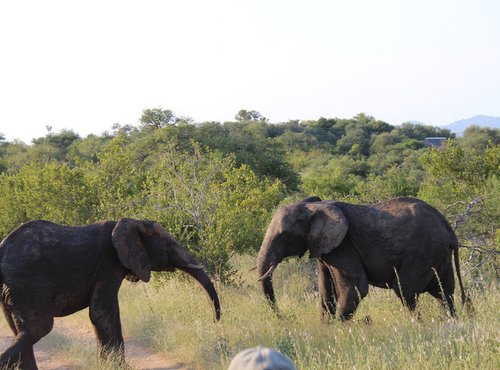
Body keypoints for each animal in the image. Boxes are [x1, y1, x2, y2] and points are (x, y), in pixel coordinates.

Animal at [0, 218, 221, 368]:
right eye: (169, 244)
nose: (215, 321)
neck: (131, 222)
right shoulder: (109, 264)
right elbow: (101, 312)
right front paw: (121, 367)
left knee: (21, 330)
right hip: (28, 284)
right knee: (40, 327)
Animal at [256, 197, 470, 320]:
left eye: (283, 235)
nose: (286, 317)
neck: (313, 205)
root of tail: (447, 226)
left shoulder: (343, 246)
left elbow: (356, 288)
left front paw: (340, 330)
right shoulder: (324, 249)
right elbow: (326, 291)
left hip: (422, 252)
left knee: (405, 290)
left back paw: (418, 324)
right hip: (439, 255)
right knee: (444, 293)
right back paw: (449, 322)